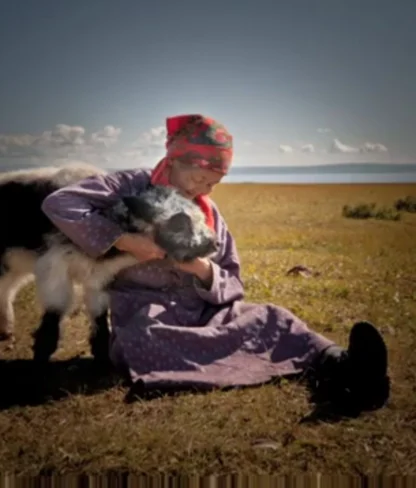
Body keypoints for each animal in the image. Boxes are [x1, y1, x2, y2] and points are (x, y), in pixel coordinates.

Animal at [0, 162, 219, 364]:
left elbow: (99, 311)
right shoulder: (55, 267)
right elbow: (56, 309)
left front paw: (102, 355)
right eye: (179, 224)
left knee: (7, 289)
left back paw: (6, 329)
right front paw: (41, 354)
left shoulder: (102, 276)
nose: (215, 243)